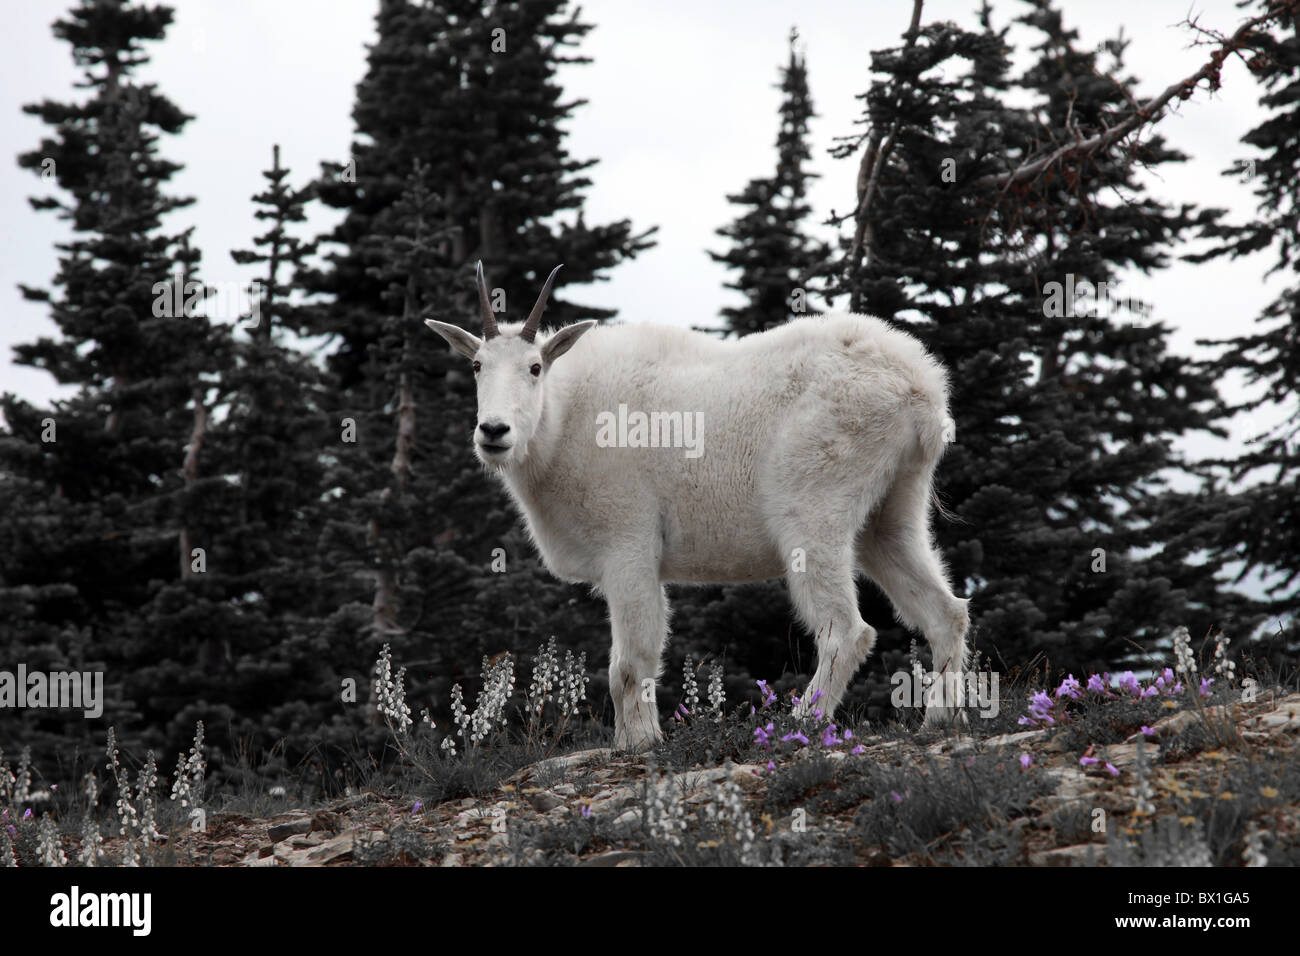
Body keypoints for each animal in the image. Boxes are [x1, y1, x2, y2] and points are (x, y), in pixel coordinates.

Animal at [431, 264, 972, 754]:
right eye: (477, 366)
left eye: (534, 368)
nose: (493, 431)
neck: (560, 421)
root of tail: (921, 389)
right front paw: (633, 740)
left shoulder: (628, 544)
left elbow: (629, 663)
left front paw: (639, 743)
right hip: (893, 510)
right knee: (945, 611)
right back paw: (939, 720)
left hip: (814, 510)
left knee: (847, 631)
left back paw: (800, 724)